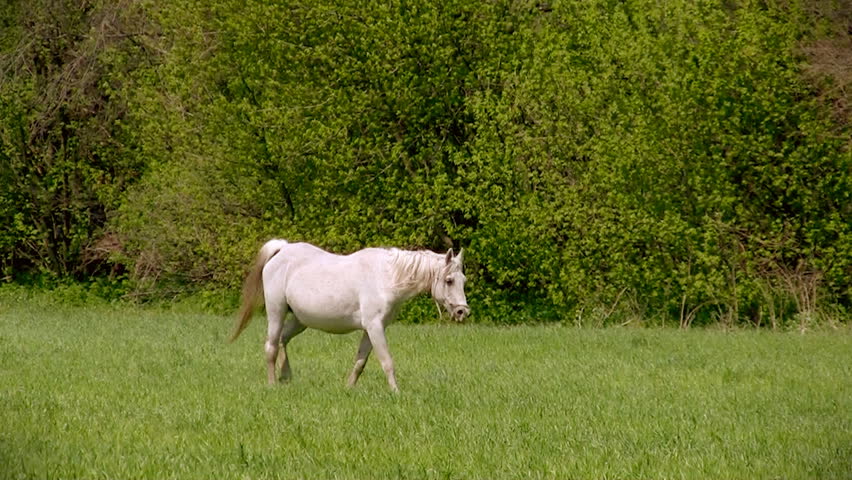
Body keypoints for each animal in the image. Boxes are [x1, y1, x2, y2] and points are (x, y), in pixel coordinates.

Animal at [229, 239, 469, 392]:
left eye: (463, 280)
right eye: (449, 281)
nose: (462, 312)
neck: (386, 277)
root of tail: (282, 250)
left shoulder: (371, 329)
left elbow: (360, 362)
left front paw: (348, 388)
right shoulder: (374, 327)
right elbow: (387, 361)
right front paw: (396, 393)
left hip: (300, 320)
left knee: (282, 340)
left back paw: (286, 377)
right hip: (276, 312)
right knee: (271, 346)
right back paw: (272, 384)